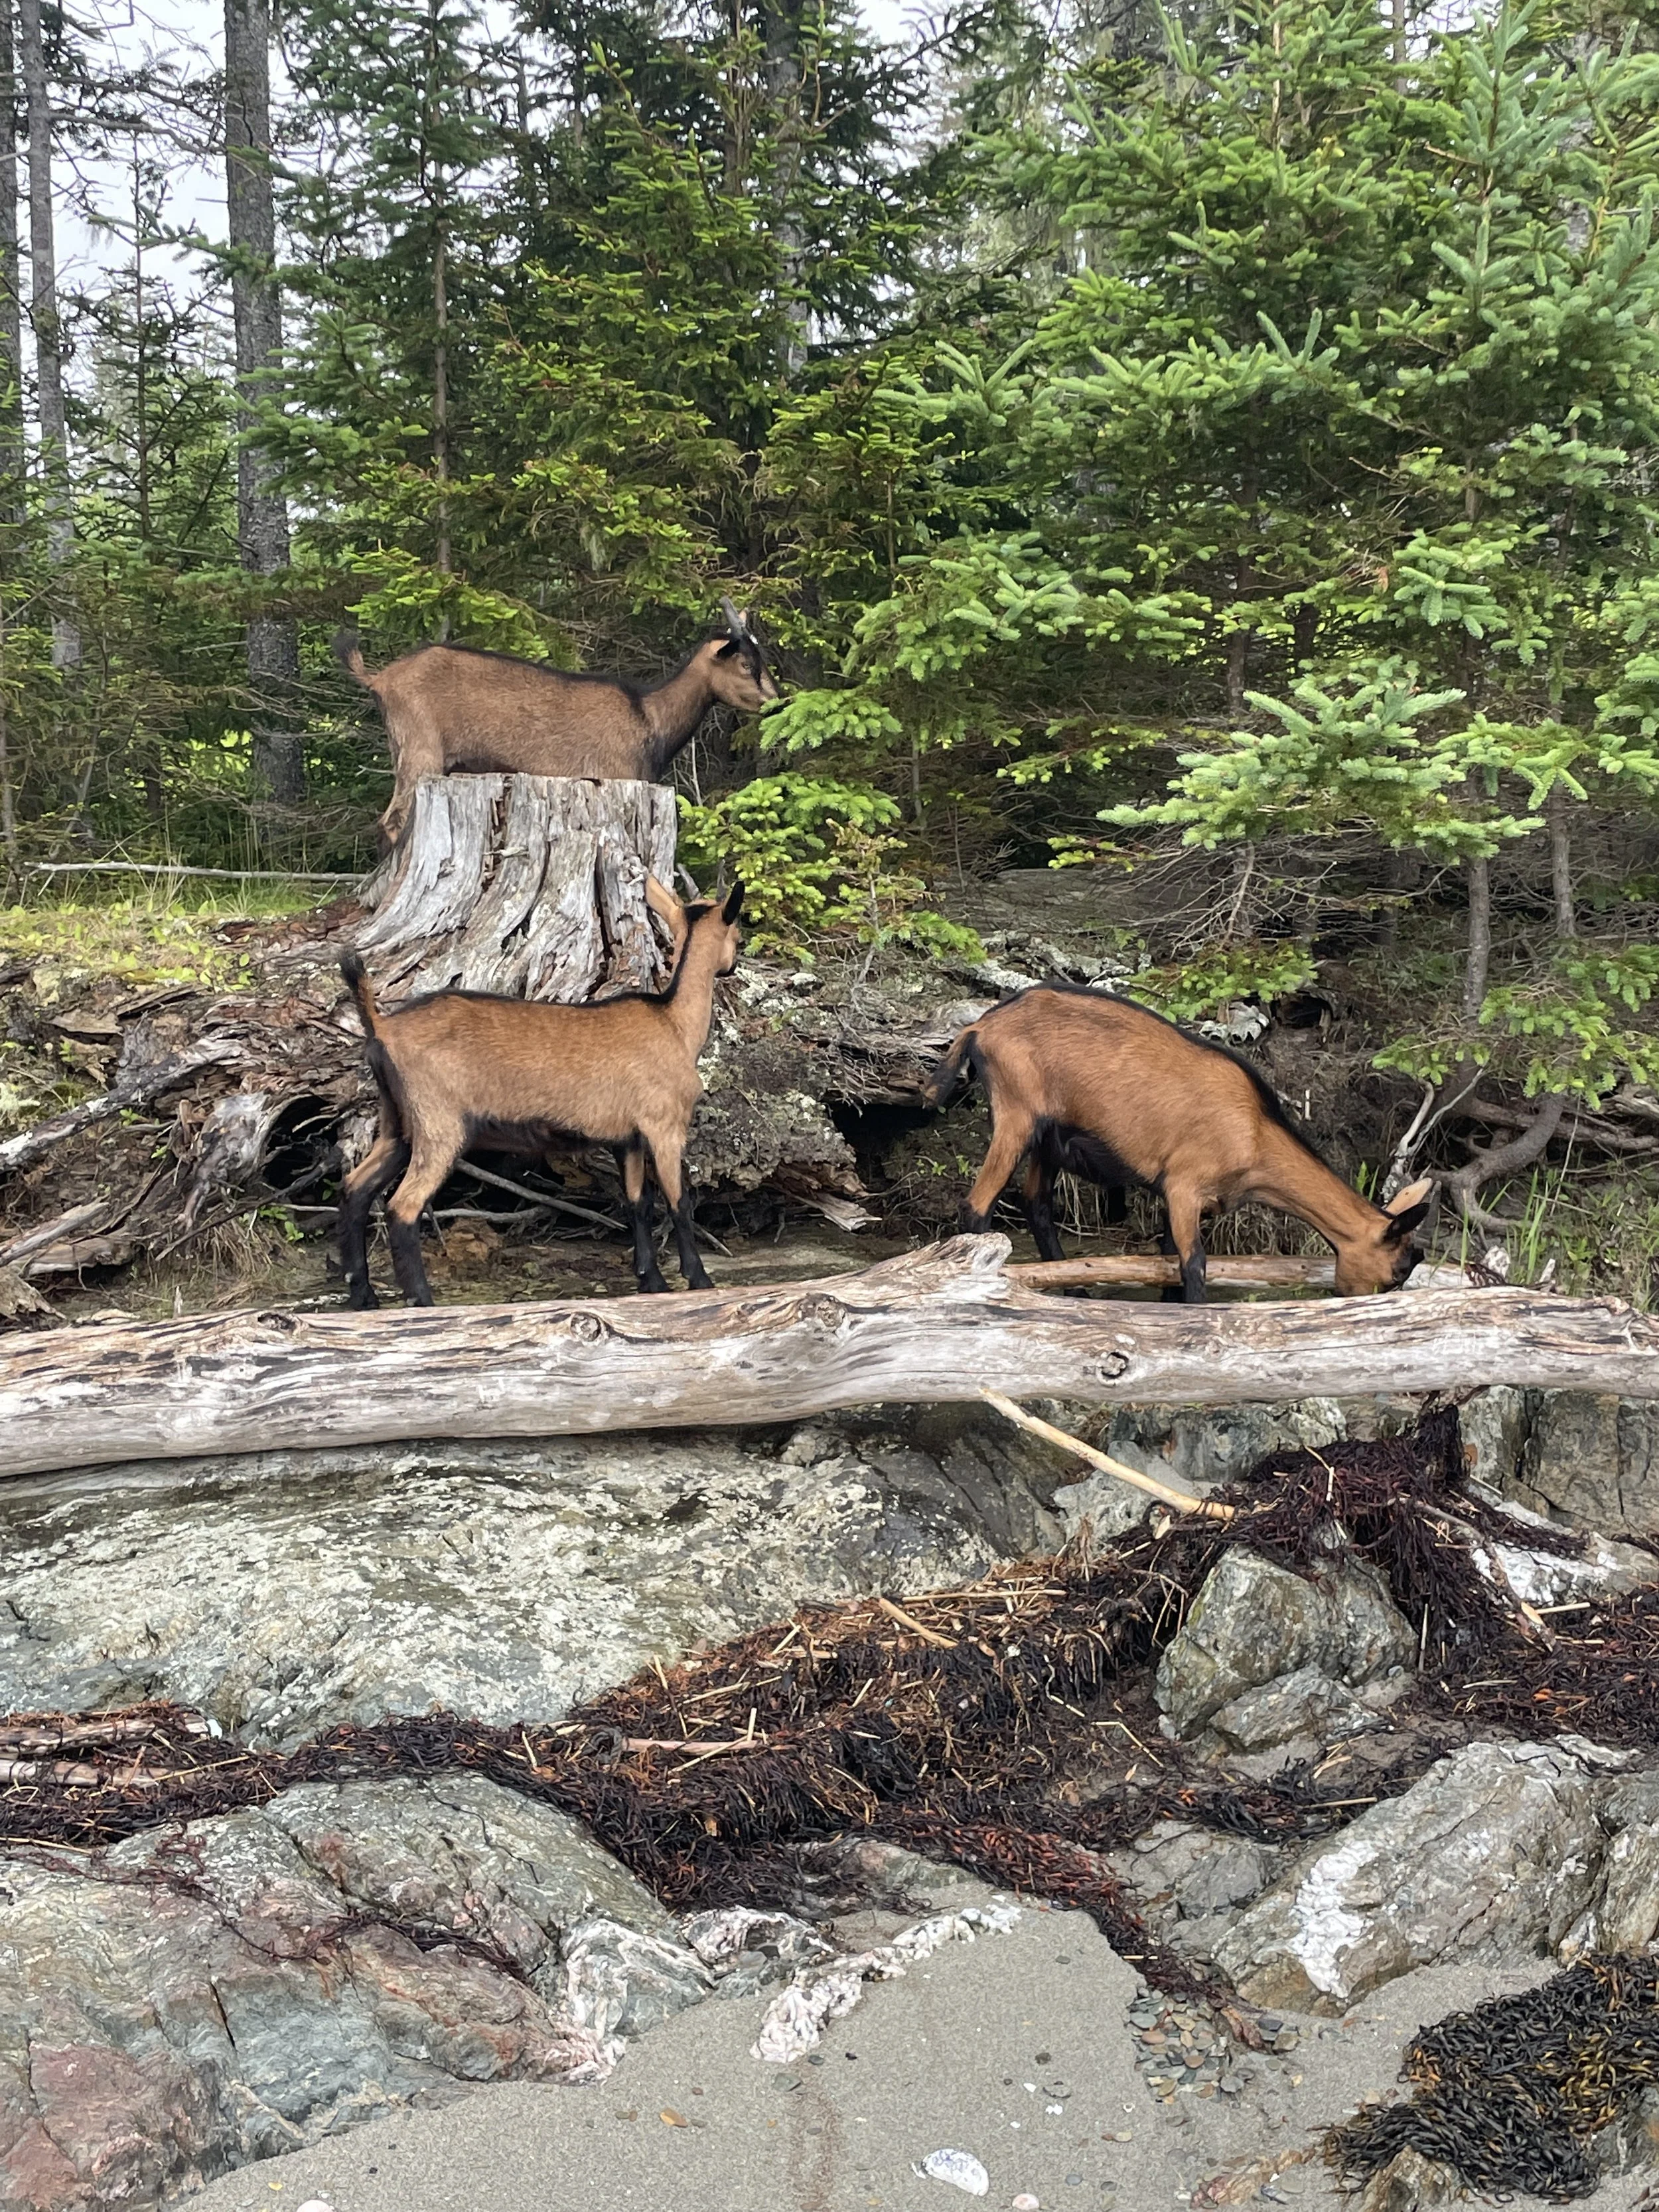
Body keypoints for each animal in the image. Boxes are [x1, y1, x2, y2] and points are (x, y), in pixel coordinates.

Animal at [337, 600, 778, 846]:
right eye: (745, 664)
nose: (776, 701)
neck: (650, 717)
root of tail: (380, 679)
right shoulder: (615, 777)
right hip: (421, 749)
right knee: (391, 822)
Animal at [337, 875, 744, 1306]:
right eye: (738, 931)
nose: (733, 963)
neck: (674, 1023)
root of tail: (382, 1027)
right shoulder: (665, 1126)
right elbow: (679, 1201)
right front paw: (699, 1280)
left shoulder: (627, 1138)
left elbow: (638, 1202)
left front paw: (651, 1281)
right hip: (440, 1122)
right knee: (403, 1206)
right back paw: (421, 1300)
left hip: (399, 1121)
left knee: (355, 1189)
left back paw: (363, 1295)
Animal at [923, 985, 1433, 1301]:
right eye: (1395, 1273)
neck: (1256, 1133)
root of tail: (979, 1028)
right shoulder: (1185, 1185)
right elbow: (1193, 1262)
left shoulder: (1184, 1198)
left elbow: (1168, 1257)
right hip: (1017, 1112)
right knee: (977, 1206)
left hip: (1049, 1137)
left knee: (1038, 1205)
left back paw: (1077, 1290)